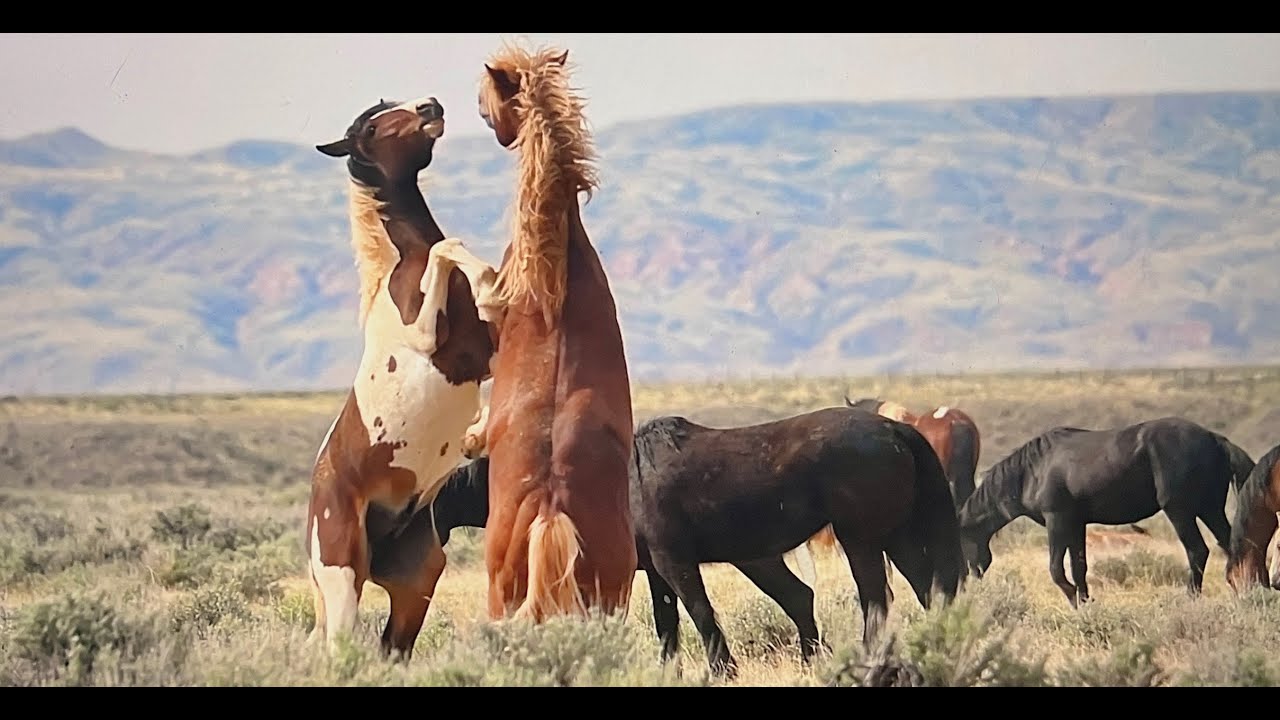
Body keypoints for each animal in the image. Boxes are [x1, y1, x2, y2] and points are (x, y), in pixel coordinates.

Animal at [303, 96, 503, 659]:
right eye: (373, 127)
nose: (430, 106)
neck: (399, 268)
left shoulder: (483, 352)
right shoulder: (427, 340)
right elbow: (446, 248)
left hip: (417, 583)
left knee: (391, 649)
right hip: (343, 576)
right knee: (338, 649)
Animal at [955, 417, 1244, 608]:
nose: (965, 584)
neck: (1032, 471)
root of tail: (1215, 440)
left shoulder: (1057, 521)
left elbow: (1057, 570)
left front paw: (1075, 600)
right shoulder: (1076, 524)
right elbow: (1079, 566)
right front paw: (1085, 601)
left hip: (1180, 511)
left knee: (1197, 551)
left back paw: (1191, 599)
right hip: (1210, 510)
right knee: (1230, 546)